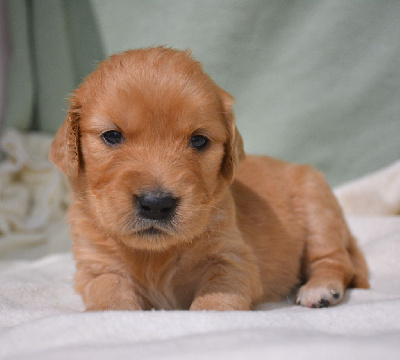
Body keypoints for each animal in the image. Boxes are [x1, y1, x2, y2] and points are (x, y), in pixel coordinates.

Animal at [50, 46, 368, 310]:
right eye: (112, 136)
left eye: (199, 140)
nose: (156, 204)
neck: (154, 254)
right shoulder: (96, 266)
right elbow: (110, 294)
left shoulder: (233, 258)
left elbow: (216, 298)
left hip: (317, 205)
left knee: (335, 259)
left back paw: (320, 289)